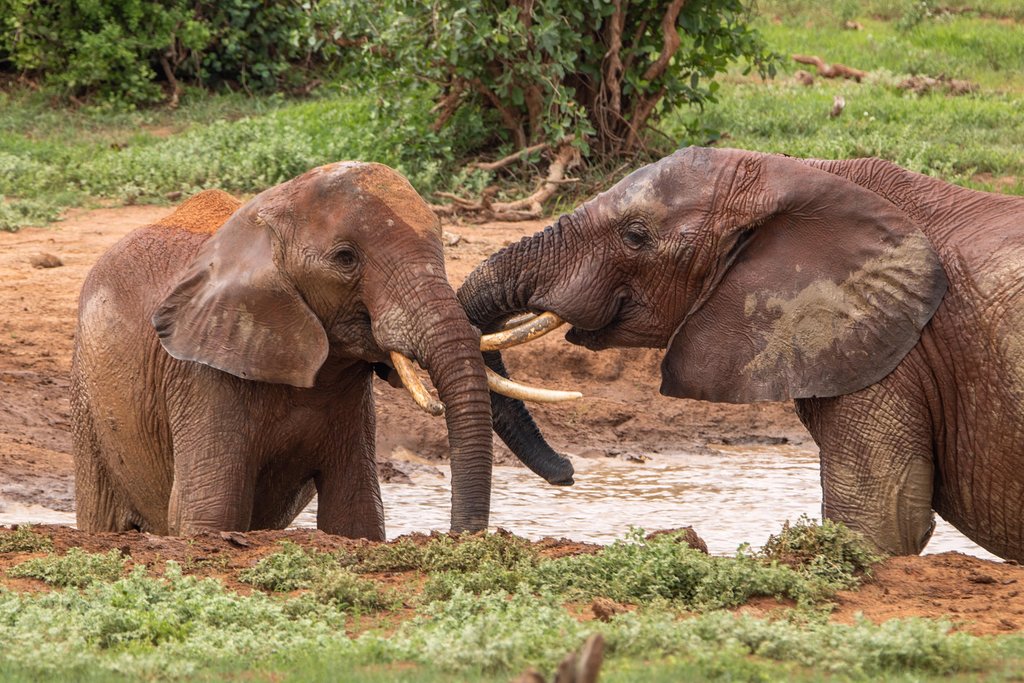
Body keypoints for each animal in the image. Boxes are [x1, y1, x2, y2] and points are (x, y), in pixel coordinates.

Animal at [71, 162, 569, 539]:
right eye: (345, 259)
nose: (567, 473)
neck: (265, 220)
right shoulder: (202, 376)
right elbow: (210, 511)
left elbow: (355, 514)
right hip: (87, 403)